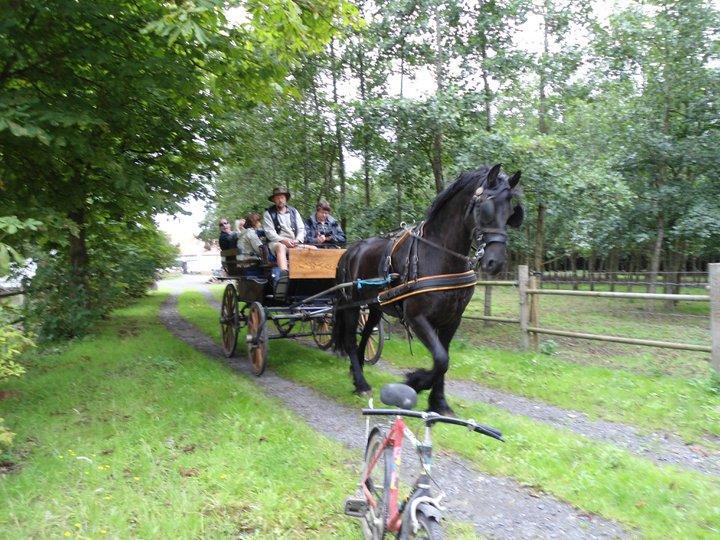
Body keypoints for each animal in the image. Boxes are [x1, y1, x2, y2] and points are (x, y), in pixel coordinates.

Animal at [332, 163, 524, 414]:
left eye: (512, 213)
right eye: (487, 209)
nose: (496, 262)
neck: (438, 252)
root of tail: (351, 250)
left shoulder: (452, 319)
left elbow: (444, 358)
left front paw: (439, 402)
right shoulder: (417, 318)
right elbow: (441, 359)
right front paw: (415, 381)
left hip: (375, 306)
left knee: (365, 334)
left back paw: (360, 374)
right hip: (352, 304)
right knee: (349, 339)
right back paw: (361, 382)